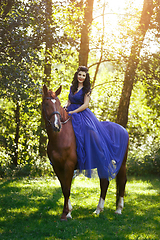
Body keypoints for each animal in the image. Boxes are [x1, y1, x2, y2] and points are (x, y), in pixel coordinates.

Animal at [42, 84, 128, 221]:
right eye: (46, 103)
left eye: (58, 104)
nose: (57, 126)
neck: (61, 136)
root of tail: (123, 129)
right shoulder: (57, 167)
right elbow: (64, 188)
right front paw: (68, 212)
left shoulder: (69, 165)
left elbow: (67, 188)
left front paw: (65, 214)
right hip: (102, 163)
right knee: (104, 182)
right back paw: (98, 210)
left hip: (122, 163)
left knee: (122, 181)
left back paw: (118, 209)